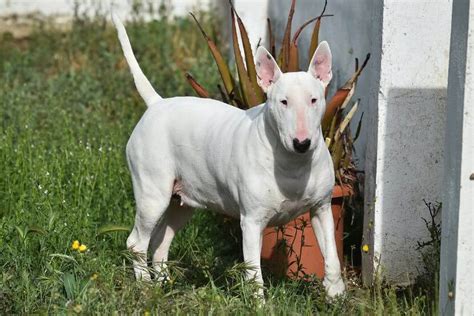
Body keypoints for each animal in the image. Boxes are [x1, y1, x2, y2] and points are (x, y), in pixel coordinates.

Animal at [114, 14, 344, 296]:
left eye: (314, 100)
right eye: (283, 102)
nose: (302, 143)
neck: (293, 163)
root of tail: (156, 104)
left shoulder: (322, 208)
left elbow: (332, 256)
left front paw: (335, 294)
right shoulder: (252, 221)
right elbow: (254, 271)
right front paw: (258, 302)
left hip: (180, 200)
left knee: (160, 241)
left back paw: (164, 284)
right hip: (152, 193)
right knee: (137, 241)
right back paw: (146, 286)